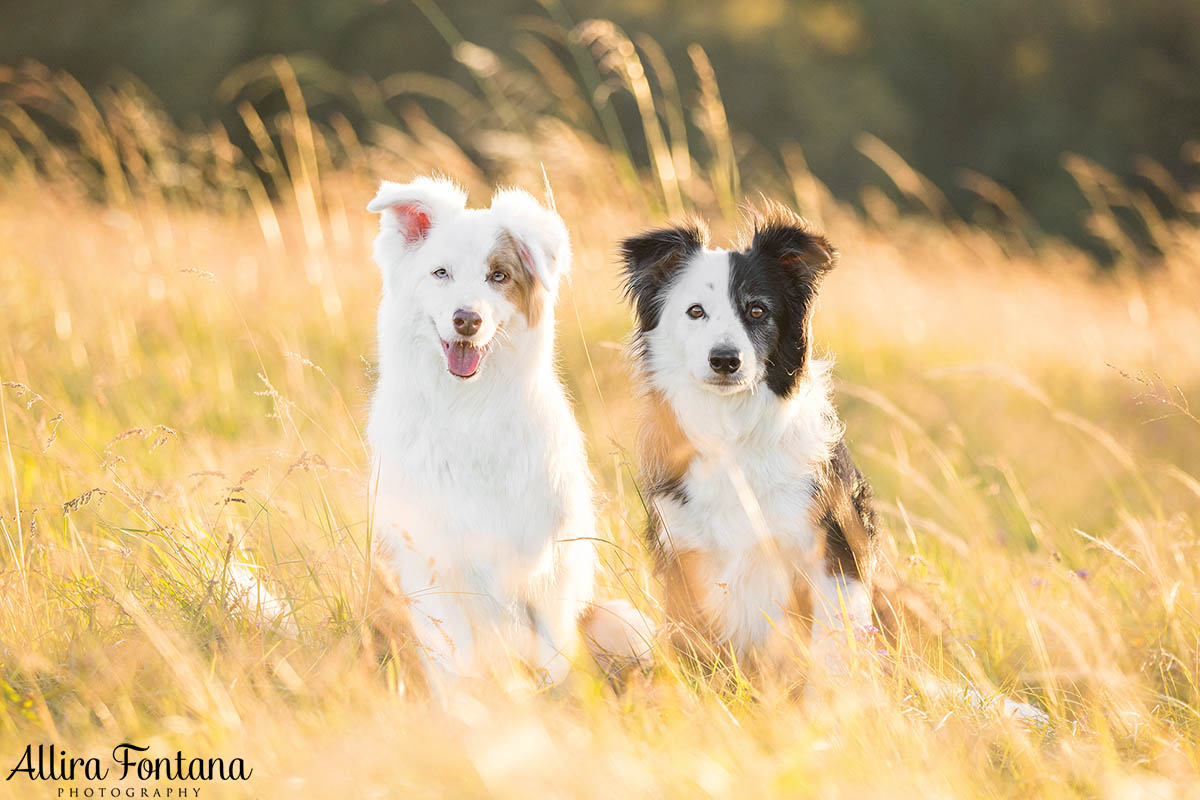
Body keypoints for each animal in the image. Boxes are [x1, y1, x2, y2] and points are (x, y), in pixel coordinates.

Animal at [367, 178, 643, 690]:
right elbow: (453, 660)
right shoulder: (434, 562)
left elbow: (554, 659)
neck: (467, 410)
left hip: (624, 621)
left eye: (498, 276)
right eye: (441, 273)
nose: (467, 319)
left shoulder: (546, 564)